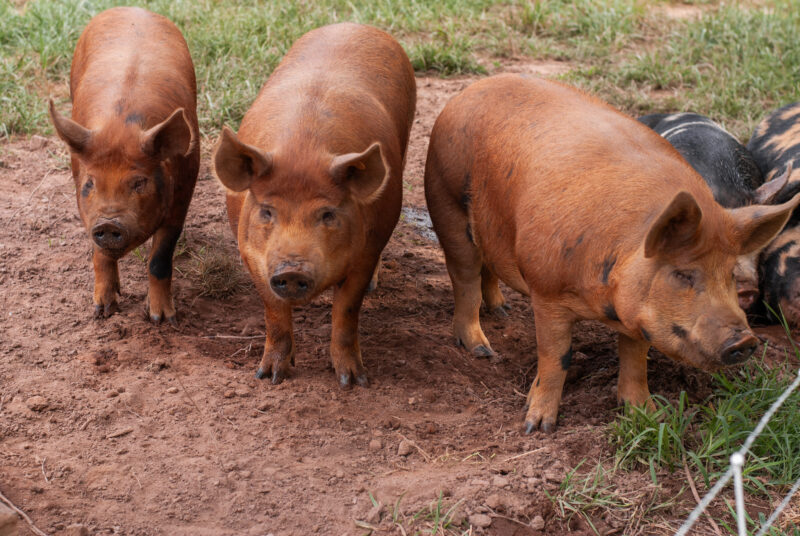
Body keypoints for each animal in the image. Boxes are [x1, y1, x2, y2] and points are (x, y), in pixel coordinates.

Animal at [48, 7, 199, 324]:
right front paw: (102, 312)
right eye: (90, 183)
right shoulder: (86, 208)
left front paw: (162, 319)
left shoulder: (183, 194)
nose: (108, 223)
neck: (121, 127)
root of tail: (135, 9)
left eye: (139, 182)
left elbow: (159, 259)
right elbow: (100, 254)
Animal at [213, 23, 415, 387]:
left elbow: (346, 311)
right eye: (267, 211)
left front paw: (353, 381)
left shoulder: (364, 254)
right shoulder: (253, 256)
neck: (302, 150)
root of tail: (353, 24)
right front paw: (269, 377)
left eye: (327, 214)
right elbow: (274, 313)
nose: (292, 270)